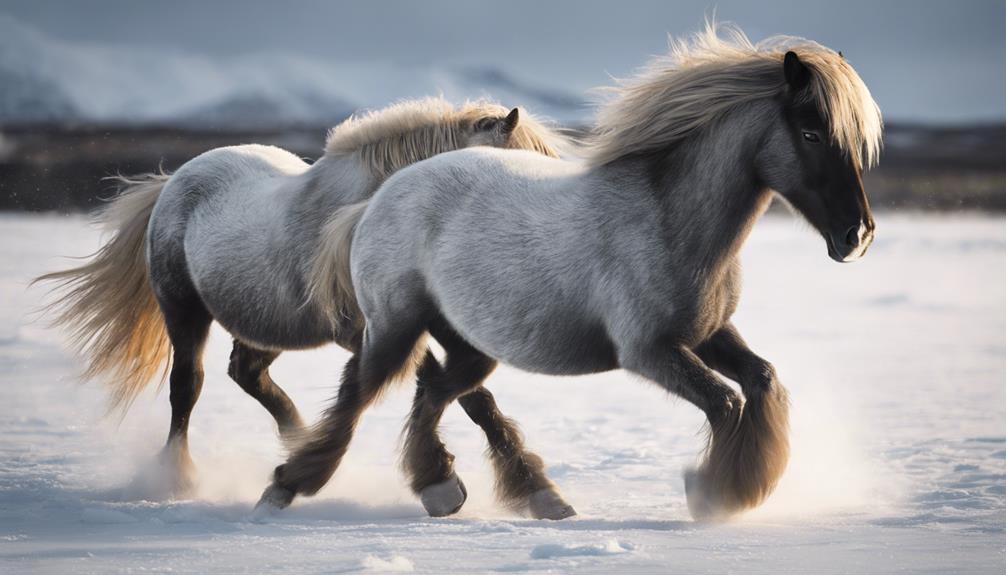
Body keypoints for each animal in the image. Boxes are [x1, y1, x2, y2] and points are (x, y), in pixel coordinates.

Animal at [35, 96, 571, 500]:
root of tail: (176, 179)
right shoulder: (369, 329)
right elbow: (464, 394)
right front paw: (455, 484)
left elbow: (466, 394)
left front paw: (533, 490)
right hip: (184, 312)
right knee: (188, 386)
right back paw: (180, 478)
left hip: (267, 323)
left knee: (247, 373)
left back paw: (298, 442)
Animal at [257, 24, 881, 522]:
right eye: (811, 133)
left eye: (852, 138)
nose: (857, 236)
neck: (668, 218)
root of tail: (378, 198)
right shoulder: (651, 352)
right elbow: (726, 403)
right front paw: (713, 494)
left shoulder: (710, 334)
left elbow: (763, 380)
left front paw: (737, 491)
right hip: (395, 328)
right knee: (358, 394)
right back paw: (284, 489)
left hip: (468, 343)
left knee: (435, 392)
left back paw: (447, 489)